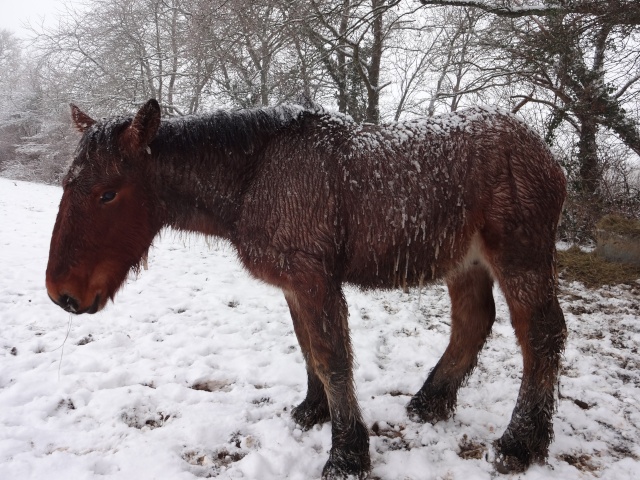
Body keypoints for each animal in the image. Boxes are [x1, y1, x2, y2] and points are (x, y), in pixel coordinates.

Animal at [46, 99, 564, 478]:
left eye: (108, 193)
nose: (61, 294)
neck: (256, 176)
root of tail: (544, 152)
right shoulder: (294, 285)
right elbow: (309, 349)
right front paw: (313, 412)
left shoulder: (314, 279)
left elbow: (333, 357)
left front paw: (347, 455)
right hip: (466, 263)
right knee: (473, 323)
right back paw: (429, 404)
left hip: (520, 258)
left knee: (541, 335)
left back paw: (519, 443)